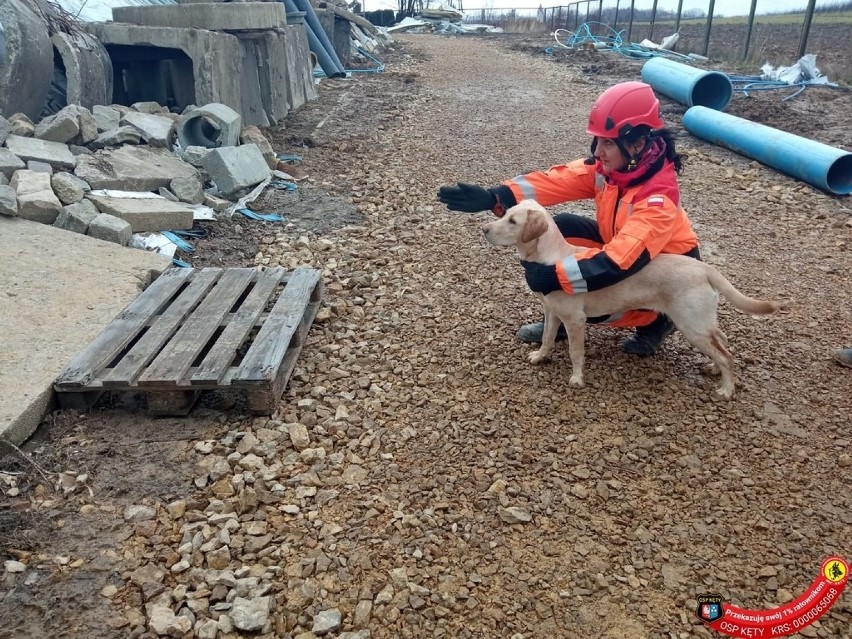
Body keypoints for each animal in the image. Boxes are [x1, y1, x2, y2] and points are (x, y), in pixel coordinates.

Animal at [482, 201, 784, 400]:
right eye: (504, 213)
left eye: (513, 221)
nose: (484, 229)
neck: (551, 259)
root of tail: (704, 268)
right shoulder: (552, 313)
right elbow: (546, 338)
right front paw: (540, 357)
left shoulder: (575, 321)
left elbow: (575, 352)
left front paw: (577, 379)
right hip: (701, 324)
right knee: (722, 342)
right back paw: (712, 368)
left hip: (691, 326)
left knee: (726, 355)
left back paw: (727, 389)